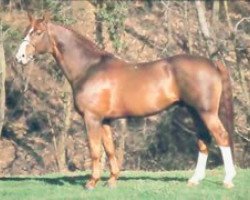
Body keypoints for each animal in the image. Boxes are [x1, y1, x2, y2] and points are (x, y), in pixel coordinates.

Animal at [16, 13, 236, 189]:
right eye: (27, 31)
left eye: (38, 32)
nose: (20, 57)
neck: (89, 68)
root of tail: (212, 63)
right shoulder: (105, 121)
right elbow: (110, 150)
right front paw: (112, 180)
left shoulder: (92, 119)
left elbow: (95, 151)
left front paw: (91, 183)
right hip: (194, 111)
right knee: (204, 140)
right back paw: (195, 179)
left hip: (206, 112)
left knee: (222, 137)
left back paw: (227, 180)